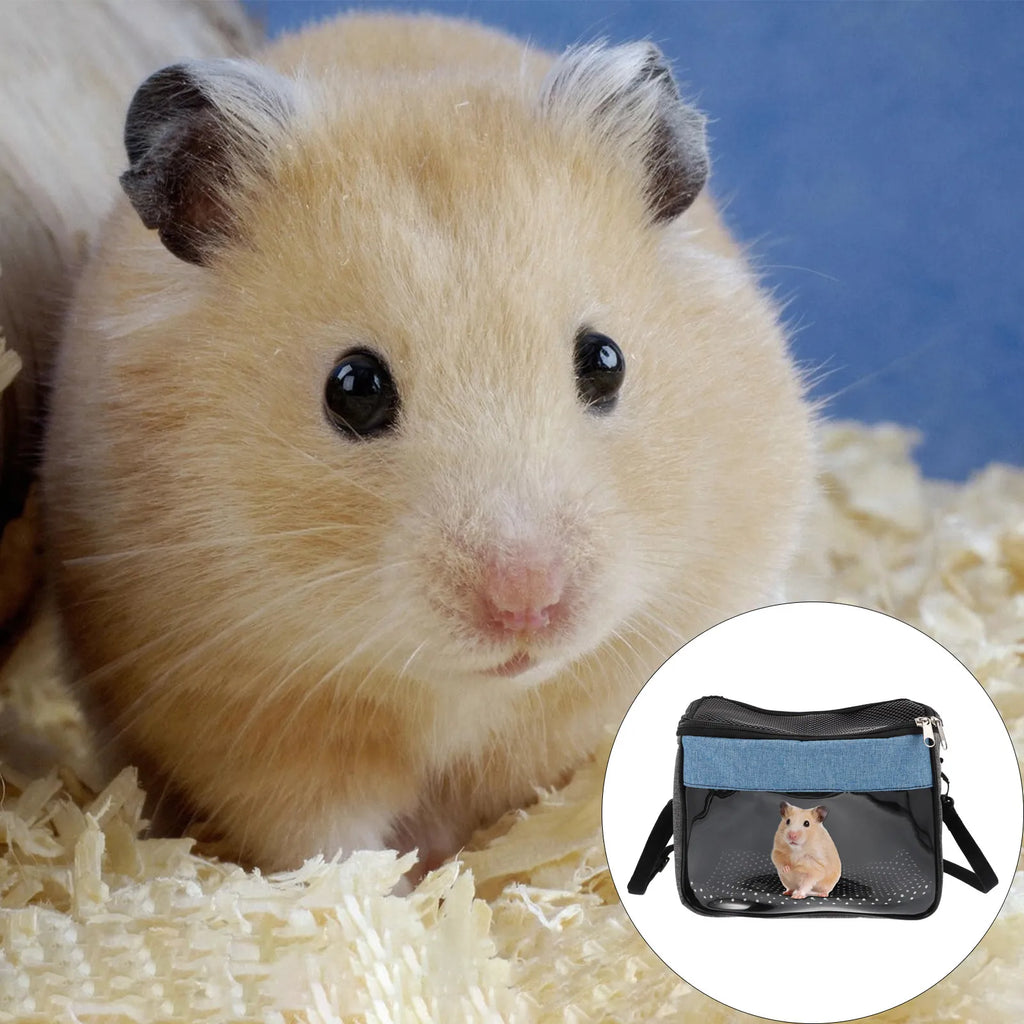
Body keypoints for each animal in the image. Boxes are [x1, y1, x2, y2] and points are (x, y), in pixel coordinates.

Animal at [42, 13, 814, 871]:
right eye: (354, 387)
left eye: (605, 361)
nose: (527, 605)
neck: (464, 689)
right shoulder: (247, 718)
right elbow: (324, 838)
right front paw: (400, 884)